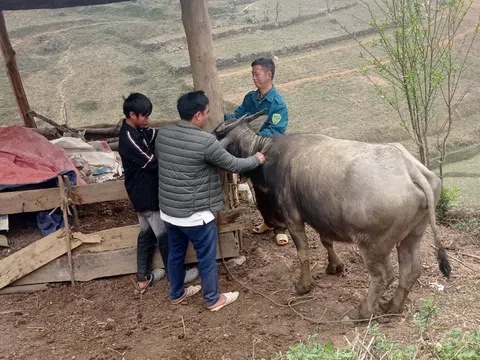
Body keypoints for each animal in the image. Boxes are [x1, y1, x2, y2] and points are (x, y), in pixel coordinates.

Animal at [216, 114, 452, 320]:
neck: (269, 153)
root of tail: (410, 168)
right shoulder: (323, 216)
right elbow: (326, 241)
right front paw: (335, 266)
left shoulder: (293, 217)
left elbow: (303, 252)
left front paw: (303, 285)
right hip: (413, 234)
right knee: (412, 270)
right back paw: (392, 306)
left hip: (373, 245)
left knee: (384, 276)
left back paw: (361, 312)